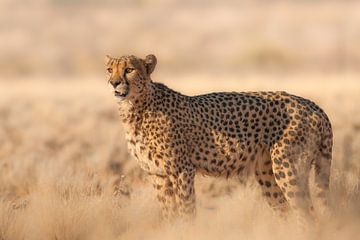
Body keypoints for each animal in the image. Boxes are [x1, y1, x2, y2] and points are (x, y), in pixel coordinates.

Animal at [104, 54, 332, 221]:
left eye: (129, 69)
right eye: (109, 69)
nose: (114, 83)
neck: (136, 108)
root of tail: (313, 105)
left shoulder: (181, 170)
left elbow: (186, 210)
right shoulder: (157, 174)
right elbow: (169, 213)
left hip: (288, 167)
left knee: (308, 215)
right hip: (267, 173)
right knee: (287, 212)